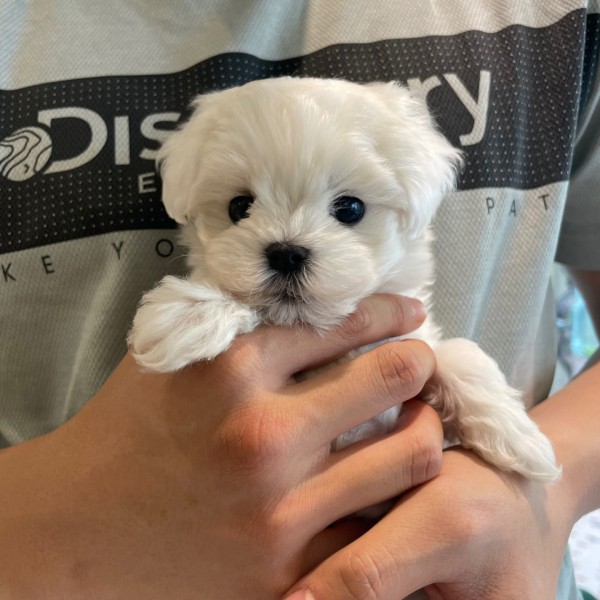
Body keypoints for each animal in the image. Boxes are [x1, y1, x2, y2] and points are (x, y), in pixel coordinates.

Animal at [129, 77, 561, 482]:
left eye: (350, 208)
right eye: (239, 207)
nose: (287, 252)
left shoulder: (415, 335)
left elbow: (456, 352)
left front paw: (520, 438)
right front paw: (188, 316)